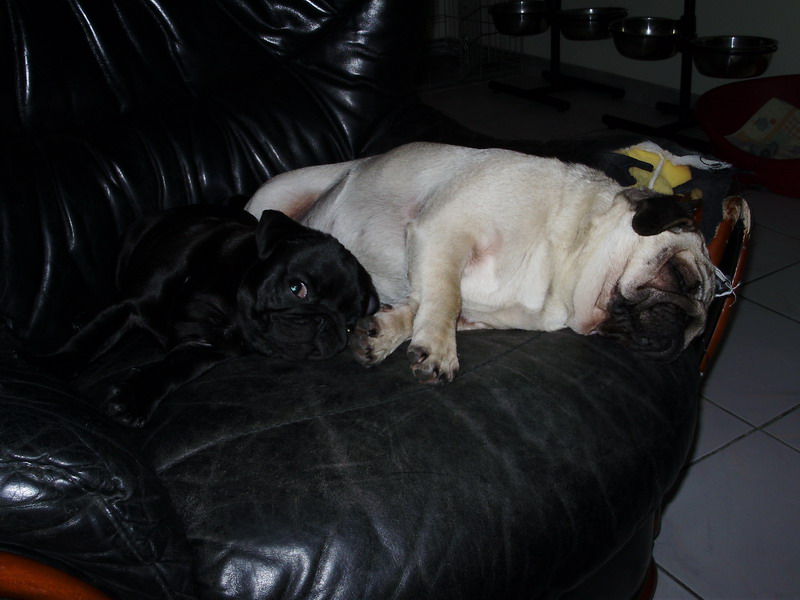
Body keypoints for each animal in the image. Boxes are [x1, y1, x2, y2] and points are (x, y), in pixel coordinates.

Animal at [38, 204, 378, 426]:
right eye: (298, 288)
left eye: (350, 326)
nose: (328, 323)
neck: (226, 310)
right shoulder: (130, 306)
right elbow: (90, 341)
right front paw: (53, 368)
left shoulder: (203, 348)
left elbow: (172, 370)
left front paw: (136, 396)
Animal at [246, 142, 716, 384]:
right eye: (680, 276)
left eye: (698, 333)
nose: (683, 332)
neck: (562, 263)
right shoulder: (444, 229)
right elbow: (445, 296)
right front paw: (438, 349)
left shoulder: (468, 306)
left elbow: (424, 305)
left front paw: (384, 332)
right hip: (272, 195)